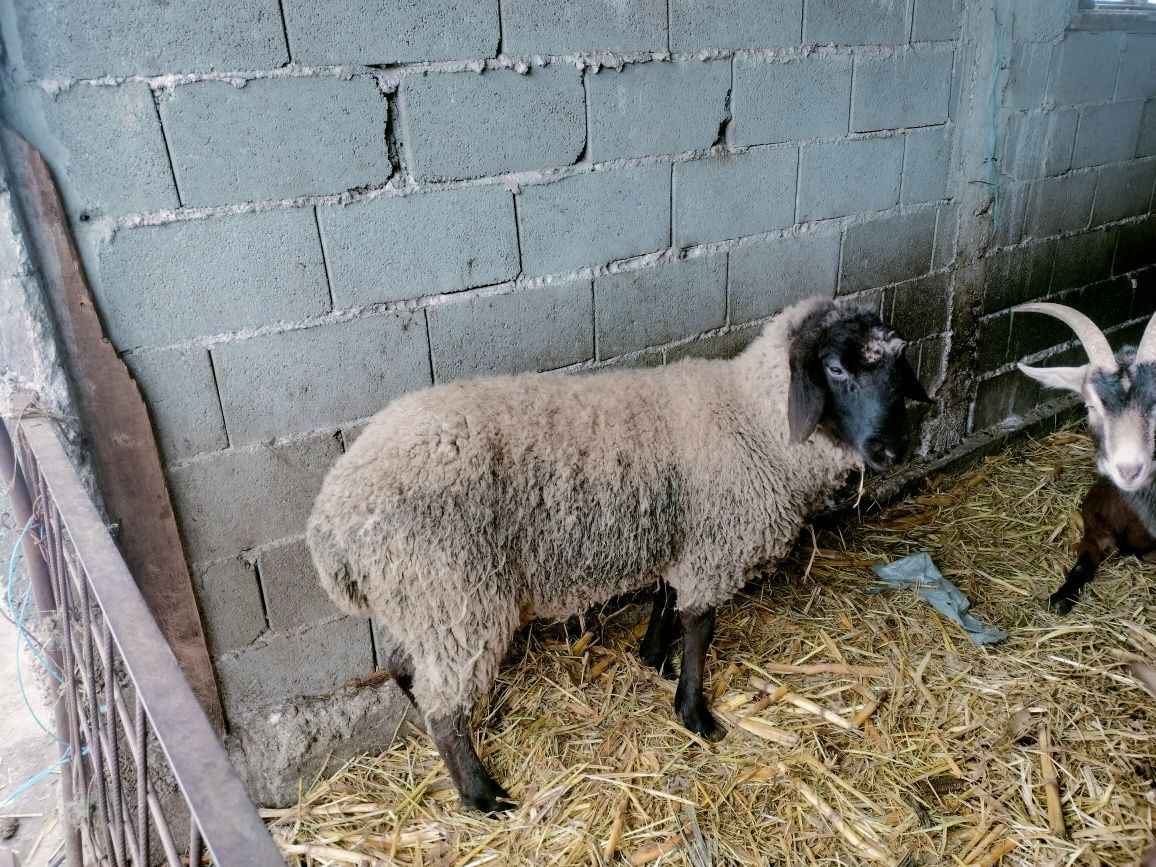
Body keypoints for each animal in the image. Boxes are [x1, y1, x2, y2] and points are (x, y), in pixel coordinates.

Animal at [305, 293, 929, 813]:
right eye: (836, 369)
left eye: (899, 369)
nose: (893, 450)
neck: (755, 420)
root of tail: (330, 521)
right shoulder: (714, 547)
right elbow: (700, 628)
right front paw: (694, 713)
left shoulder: (683, 536)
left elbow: (664, 598)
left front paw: (653, 656)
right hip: (455, 595)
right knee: (442, 708)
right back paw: (480, 794)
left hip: (419, 598)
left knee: (404, 667)